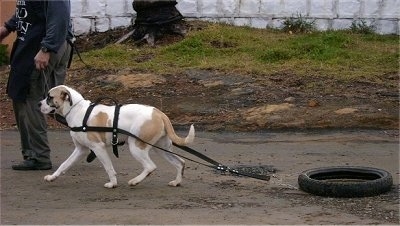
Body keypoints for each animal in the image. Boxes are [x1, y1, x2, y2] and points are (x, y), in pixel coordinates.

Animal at [39, 84, 195, 187]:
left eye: (49, 97)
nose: (38, 104)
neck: (76, 109)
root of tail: (159, 113)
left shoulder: (98, 148)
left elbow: (108, 168)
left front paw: (113, 183)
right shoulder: (80, 150)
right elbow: (65, 164)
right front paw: (52, 177)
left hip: (136, 147)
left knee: (150, 166)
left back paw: (135, 181)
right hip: (161, 149)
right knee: (180, 162)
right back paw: (176, 181)